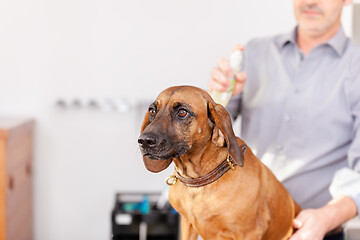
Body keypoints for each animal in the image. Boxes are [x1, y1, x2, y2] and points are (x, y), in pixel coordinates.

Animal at [138, 86, 300, 240]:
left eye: (182, 112)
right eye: (152, 111)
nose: (144, 141)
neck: (199, 182)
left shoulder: (249, 233)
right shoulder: (187, 224)